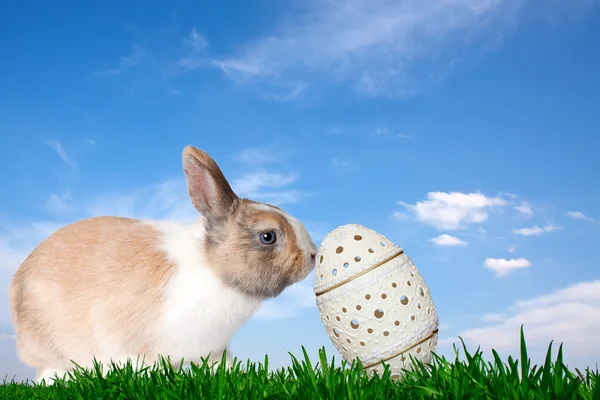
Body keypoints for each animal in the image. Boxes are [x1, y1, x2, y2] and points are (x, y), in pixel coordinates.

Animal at [8, 145, 318, 384]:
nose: (313, 255)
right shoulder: (133, 341)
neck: (211, 269)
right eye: (268, 236)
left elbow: (222, 365)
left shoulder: (214, 348)